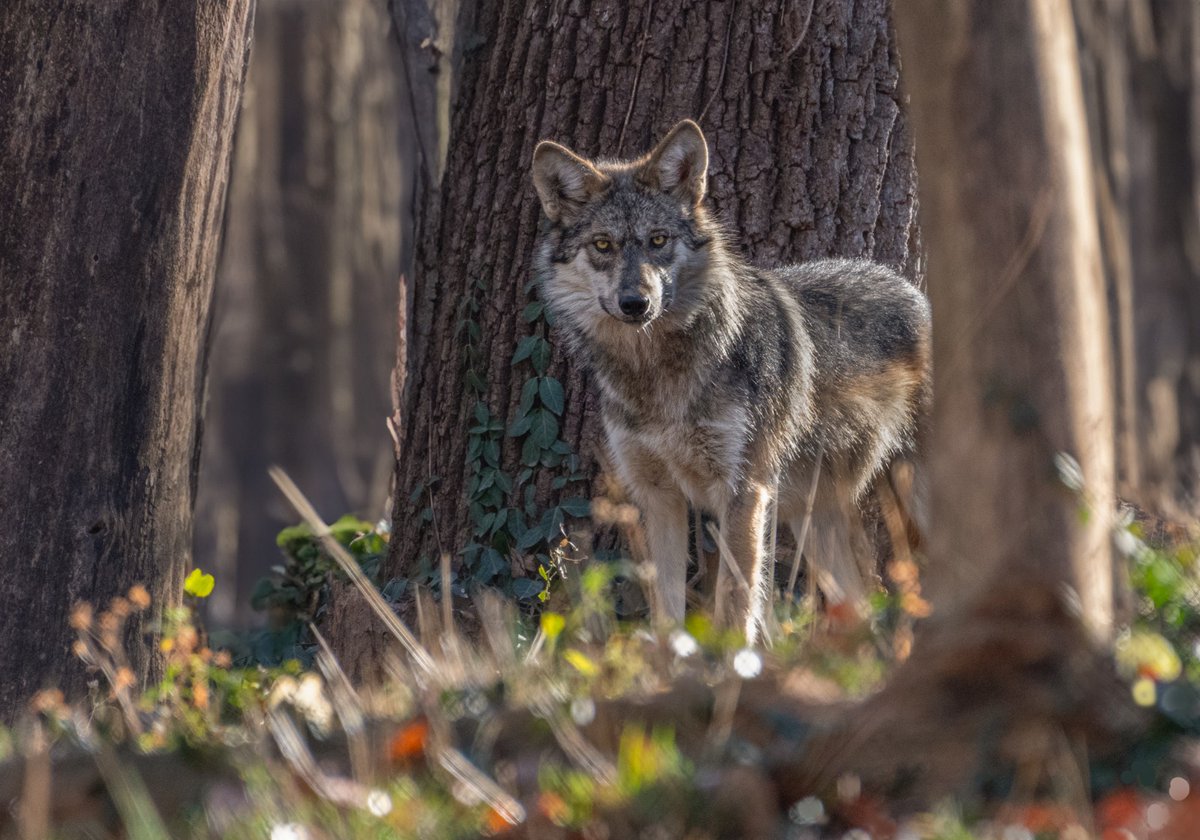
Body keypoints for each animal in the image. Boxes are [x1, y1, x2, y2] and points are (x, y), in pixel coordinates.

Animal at [530, 120, 930, 643]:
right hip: (815, 522)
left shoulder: (744, 491)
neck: (658, 376)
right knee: (864, 604)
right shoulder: (658, 498)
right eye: (602, 245)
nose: (636, 303)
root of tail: (917, 293)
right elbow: (668, 612)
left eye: (658, 240)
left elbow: (734, 608)